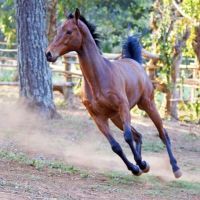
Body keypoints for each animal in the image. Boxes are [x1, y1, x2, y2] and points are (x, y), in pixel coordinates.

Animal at [46, 9, 182, 178]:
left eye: (69, 31)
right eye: (58, 30)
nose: (48, 54)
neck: (99, 78)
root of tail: (135, 62)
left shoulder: (123, 107)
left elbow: (127, 137)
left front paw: (141, 164)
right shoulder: (98, 117)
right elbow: (115, 146)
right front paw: (136, 167)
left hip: (147, 105)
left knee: (163, 133)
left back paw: (175, 168)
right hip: (116, 118)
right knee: (139, 136)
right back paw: (143, 166)